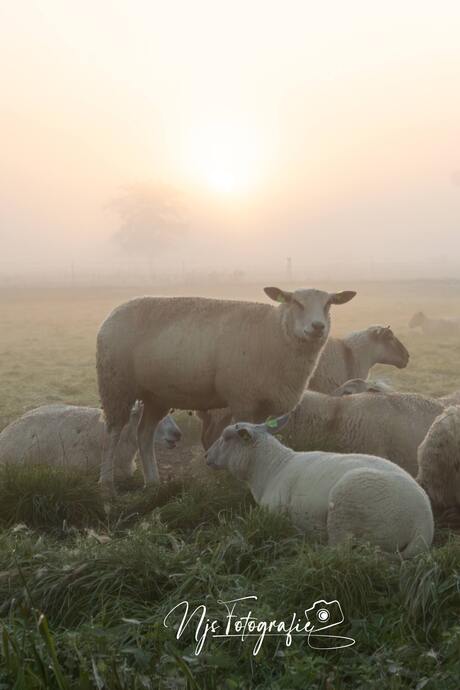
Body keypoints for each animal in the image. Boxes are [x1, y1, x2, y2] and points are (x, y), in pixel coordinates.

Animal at [96, 288, 356, 486]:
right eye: (296, 302)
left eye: (329, 304)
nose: (318, 327)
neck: (274, 332)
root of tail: (114, 312)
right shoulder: (243, 399)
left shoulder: (264, 403)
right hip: (116, 385)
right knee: (114, 432)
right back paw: (106, 483)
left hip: (156, 395)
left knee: (144, 434)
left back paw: (153, 483)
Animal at [207, 414, 434, 552]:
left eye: (226, 437)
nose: (206, 456)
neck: (272, 468)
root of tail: (424, 523)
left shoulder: (274, 512)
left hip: (346, 507)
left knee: (340, 549)